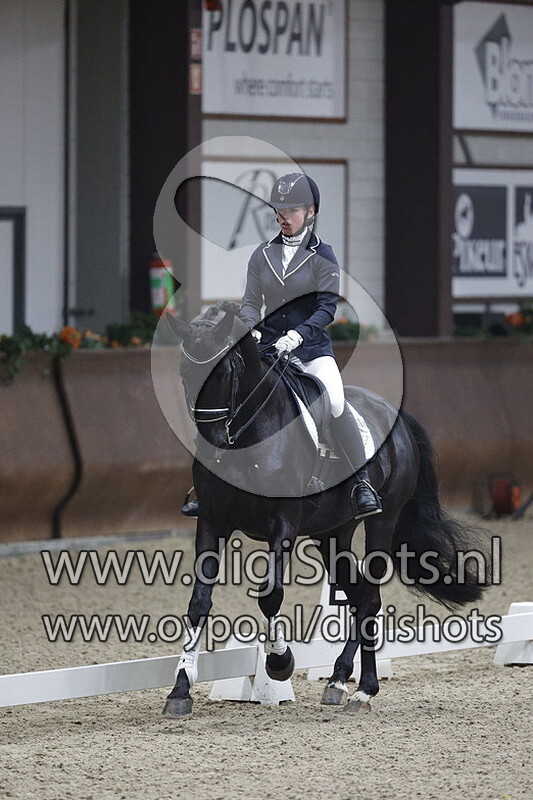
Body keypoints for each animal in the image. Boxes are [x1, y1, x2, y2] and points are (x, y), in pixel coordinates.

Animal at [162, 301, 490, 717]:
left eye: (225, 371)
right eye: (184, 373)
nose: (214, 444)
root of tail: (395, 415)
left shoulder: (283, 524)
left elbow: (270, 594)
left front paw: (280, 662)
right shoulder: (212, 520)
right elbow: (198, 603)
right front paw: (180, 690)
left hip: (382, 521)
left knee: (369, 597)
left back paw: (363, 689)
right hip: (331, 533)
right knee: (358, 595)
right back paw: (338, 679)